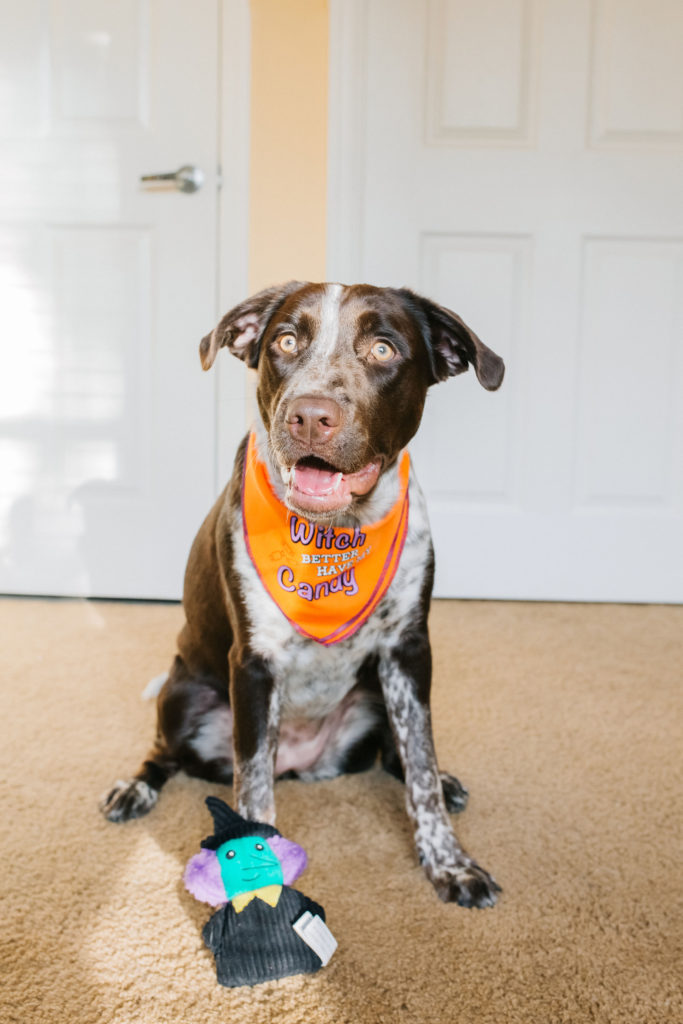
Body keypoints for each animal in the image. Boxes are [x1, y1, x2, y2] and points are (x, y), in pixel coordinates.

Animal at [102, 278, 507, 905]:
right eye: (286, 341)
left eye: (384, 349)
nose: (310, 415)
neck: (333, 534)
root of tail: (301, 763)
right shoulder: (254, 663)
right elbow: (253, 790)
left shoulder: (409, 651)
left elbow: (419, 760)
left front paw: (450, 861)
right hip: (182, 694)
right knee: (164, 754)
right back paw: (135, 788)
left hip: (374, 694)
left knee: (393, 754)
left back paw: (445, 782)